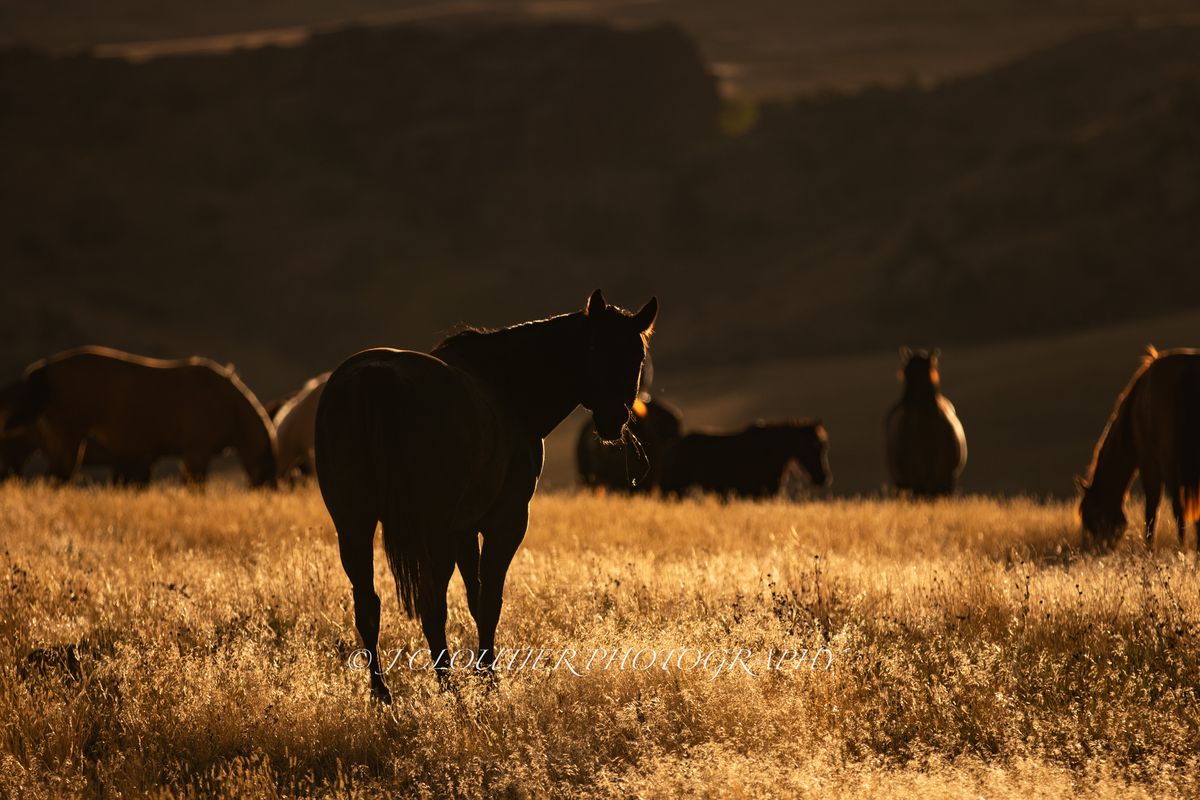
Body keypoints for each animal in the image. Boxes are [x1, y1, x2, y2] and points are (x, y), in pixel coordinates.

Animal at [0, 346, 277, 486]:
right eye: (268, 472)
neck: (223, 401)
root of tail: (42, 370)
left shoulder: (142, 460)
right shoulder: (196, 452)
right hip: (67, 441)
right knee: (56, 478)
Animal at [315, 289, 657, 701]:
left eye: (635, 356)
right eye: (593, 347)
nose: (612, 419)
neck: (507, 390)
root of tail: (374, 378)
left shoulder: (463, 529)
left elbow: (474, 597)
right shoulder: (505, 522)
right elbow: (489, 600)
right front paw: (489, 679)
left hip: (354, 525)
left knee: (368, 605)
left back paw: (383, 694)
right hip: (429, 533)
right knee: (431, 606)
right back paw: (448, 687)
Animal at [659, 420, 830, 499]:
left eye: (824, 446)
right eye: (811, 447)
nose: (823, 477)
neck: (770, 452)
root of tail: (672, 444)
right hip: (676, 488)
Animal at [1078, 347, 1200, 549]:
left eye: (1090, 517)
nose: (1099, 550)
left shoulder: (1149, 464)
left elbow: (1151, 510)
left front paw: (1149, 549)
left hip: (1169, 465)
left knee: (1178, 508)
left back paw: (1181, 546)